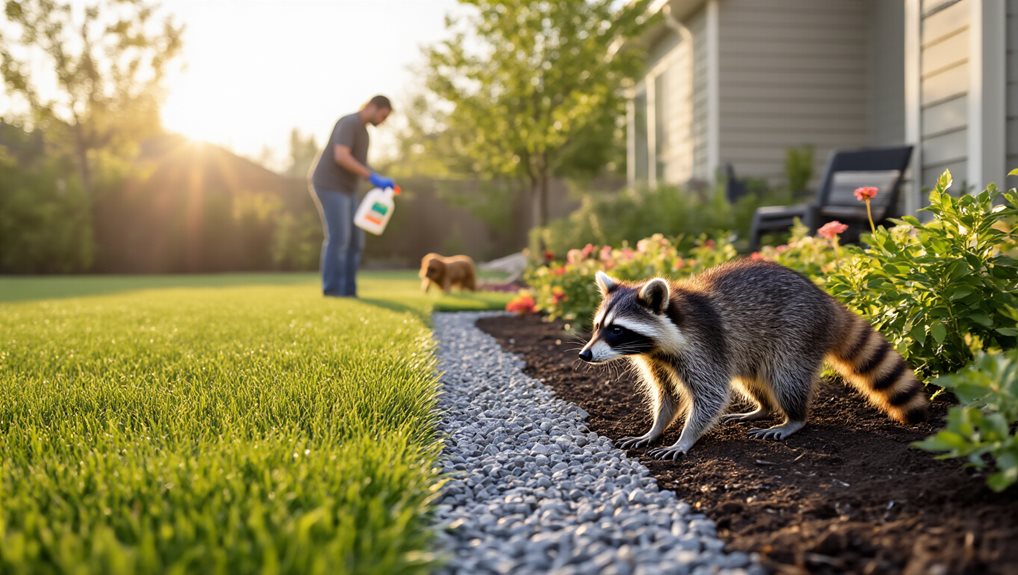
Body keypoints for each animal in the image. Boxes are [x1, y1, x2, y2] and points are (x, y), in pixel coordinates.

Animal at [577, 259, 927, 459]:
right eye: (597, 327)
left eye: (617, 330)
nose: (585, 354)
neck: (657, 346)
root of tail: (827, 302)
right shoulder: (658, 361)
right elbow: (668, 396)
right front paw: (655, 429)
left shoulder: (704, 347)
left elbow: (711, 396)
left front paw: (684, 438)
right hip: (754, 351)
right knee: (750, 379)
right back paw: (763, 408)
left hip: (796, 335)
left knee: (786, 379)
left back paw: (793, 417)